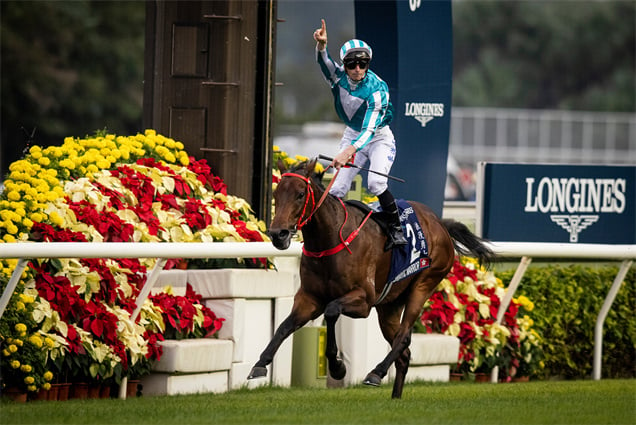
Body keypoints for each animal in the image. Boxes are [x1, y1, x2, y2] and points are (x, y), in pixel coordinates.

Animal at [246, 159, 494, 398]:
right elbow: (284, 326)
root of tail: (440, 223)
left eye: (299, 194)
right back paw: (395, 397)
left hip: (424, 283)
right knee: (404, 353)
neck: (330, 240)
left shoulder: (363, 300)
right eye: (276, 194)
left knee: (404, 336)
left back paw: (376, 373)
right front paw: (260, 364)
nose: (278, 234)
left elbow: (332, 311)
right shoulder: (309, 298)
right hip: (389, 305)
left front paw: (337, 367)